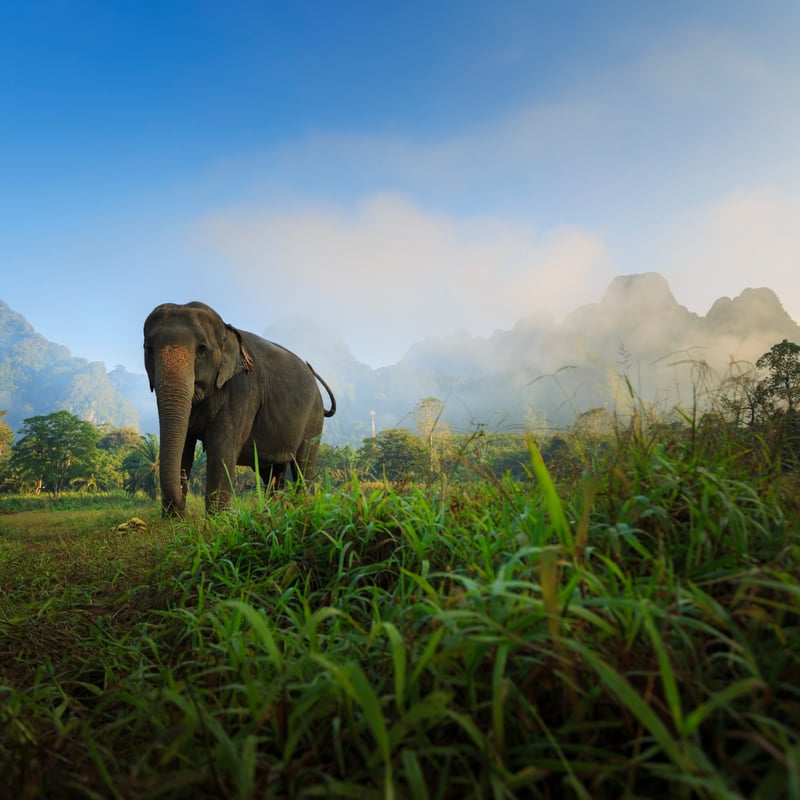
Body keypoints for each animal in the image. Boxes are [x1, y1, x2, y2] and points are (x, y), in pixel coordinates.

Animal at [143, 301, 336, 516]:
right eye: (148, 349)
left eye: (201, 349)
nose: (183, 477)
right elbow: (185, 445)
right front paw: (172, 520)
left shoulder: (243, 391)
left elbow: (221, 451)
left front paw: (217, 521)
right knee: (272, 472)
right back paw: (274, 513)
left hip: (314, 418)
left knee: (303, 465)